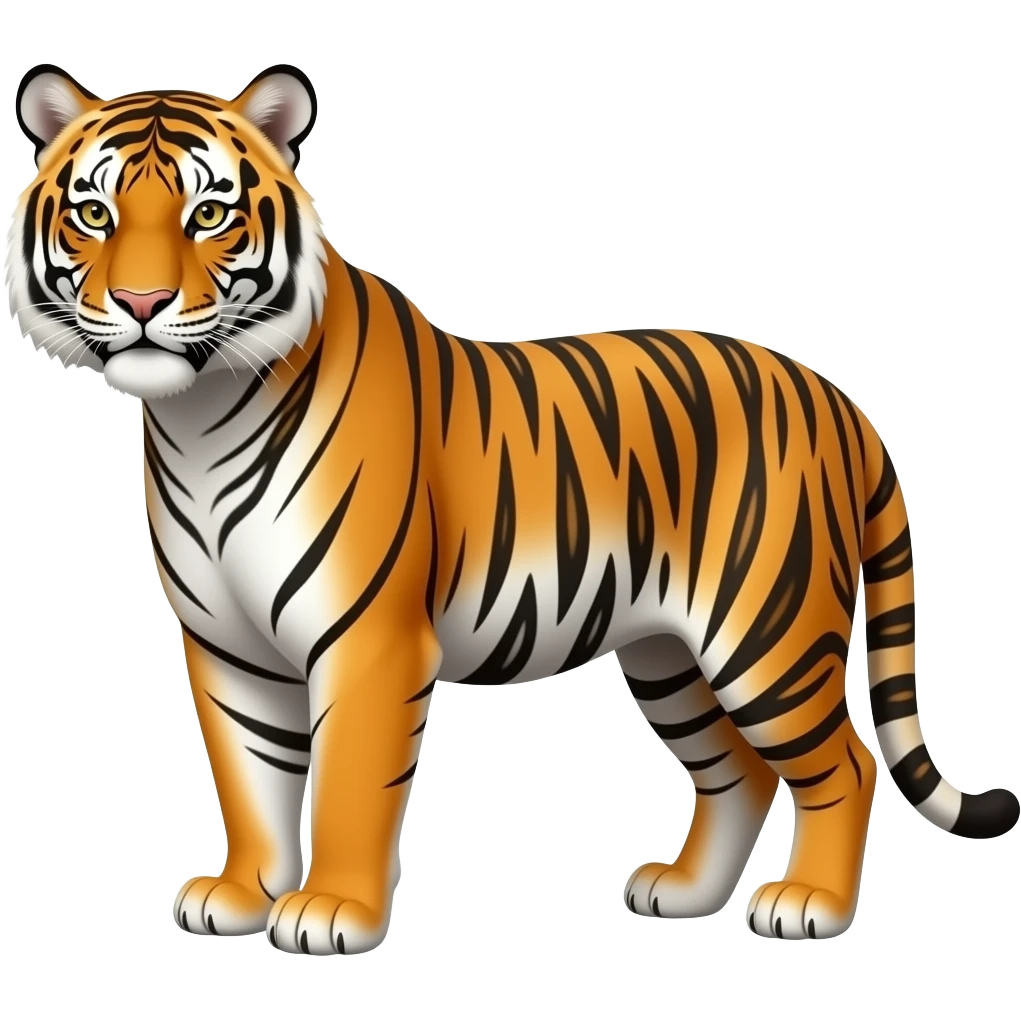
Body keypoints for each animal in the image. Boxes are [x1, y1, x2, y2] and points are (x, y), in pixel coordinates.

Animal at [6, 61, 1018, 957]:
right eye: (94, 213)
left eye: (208, 213)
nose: (141, 301)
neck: (198, 416)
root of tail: (836, 397)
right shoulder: (226, 646)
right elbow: (249, 778)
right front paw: (242, 893)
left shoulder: (368, 639)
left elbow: (345, 787)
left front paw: (330, 911)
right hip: (669, 654)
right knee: (738, 771)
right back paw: (683, 891)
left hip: (766, 631)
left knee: (843, 761)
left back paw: (809, 904)